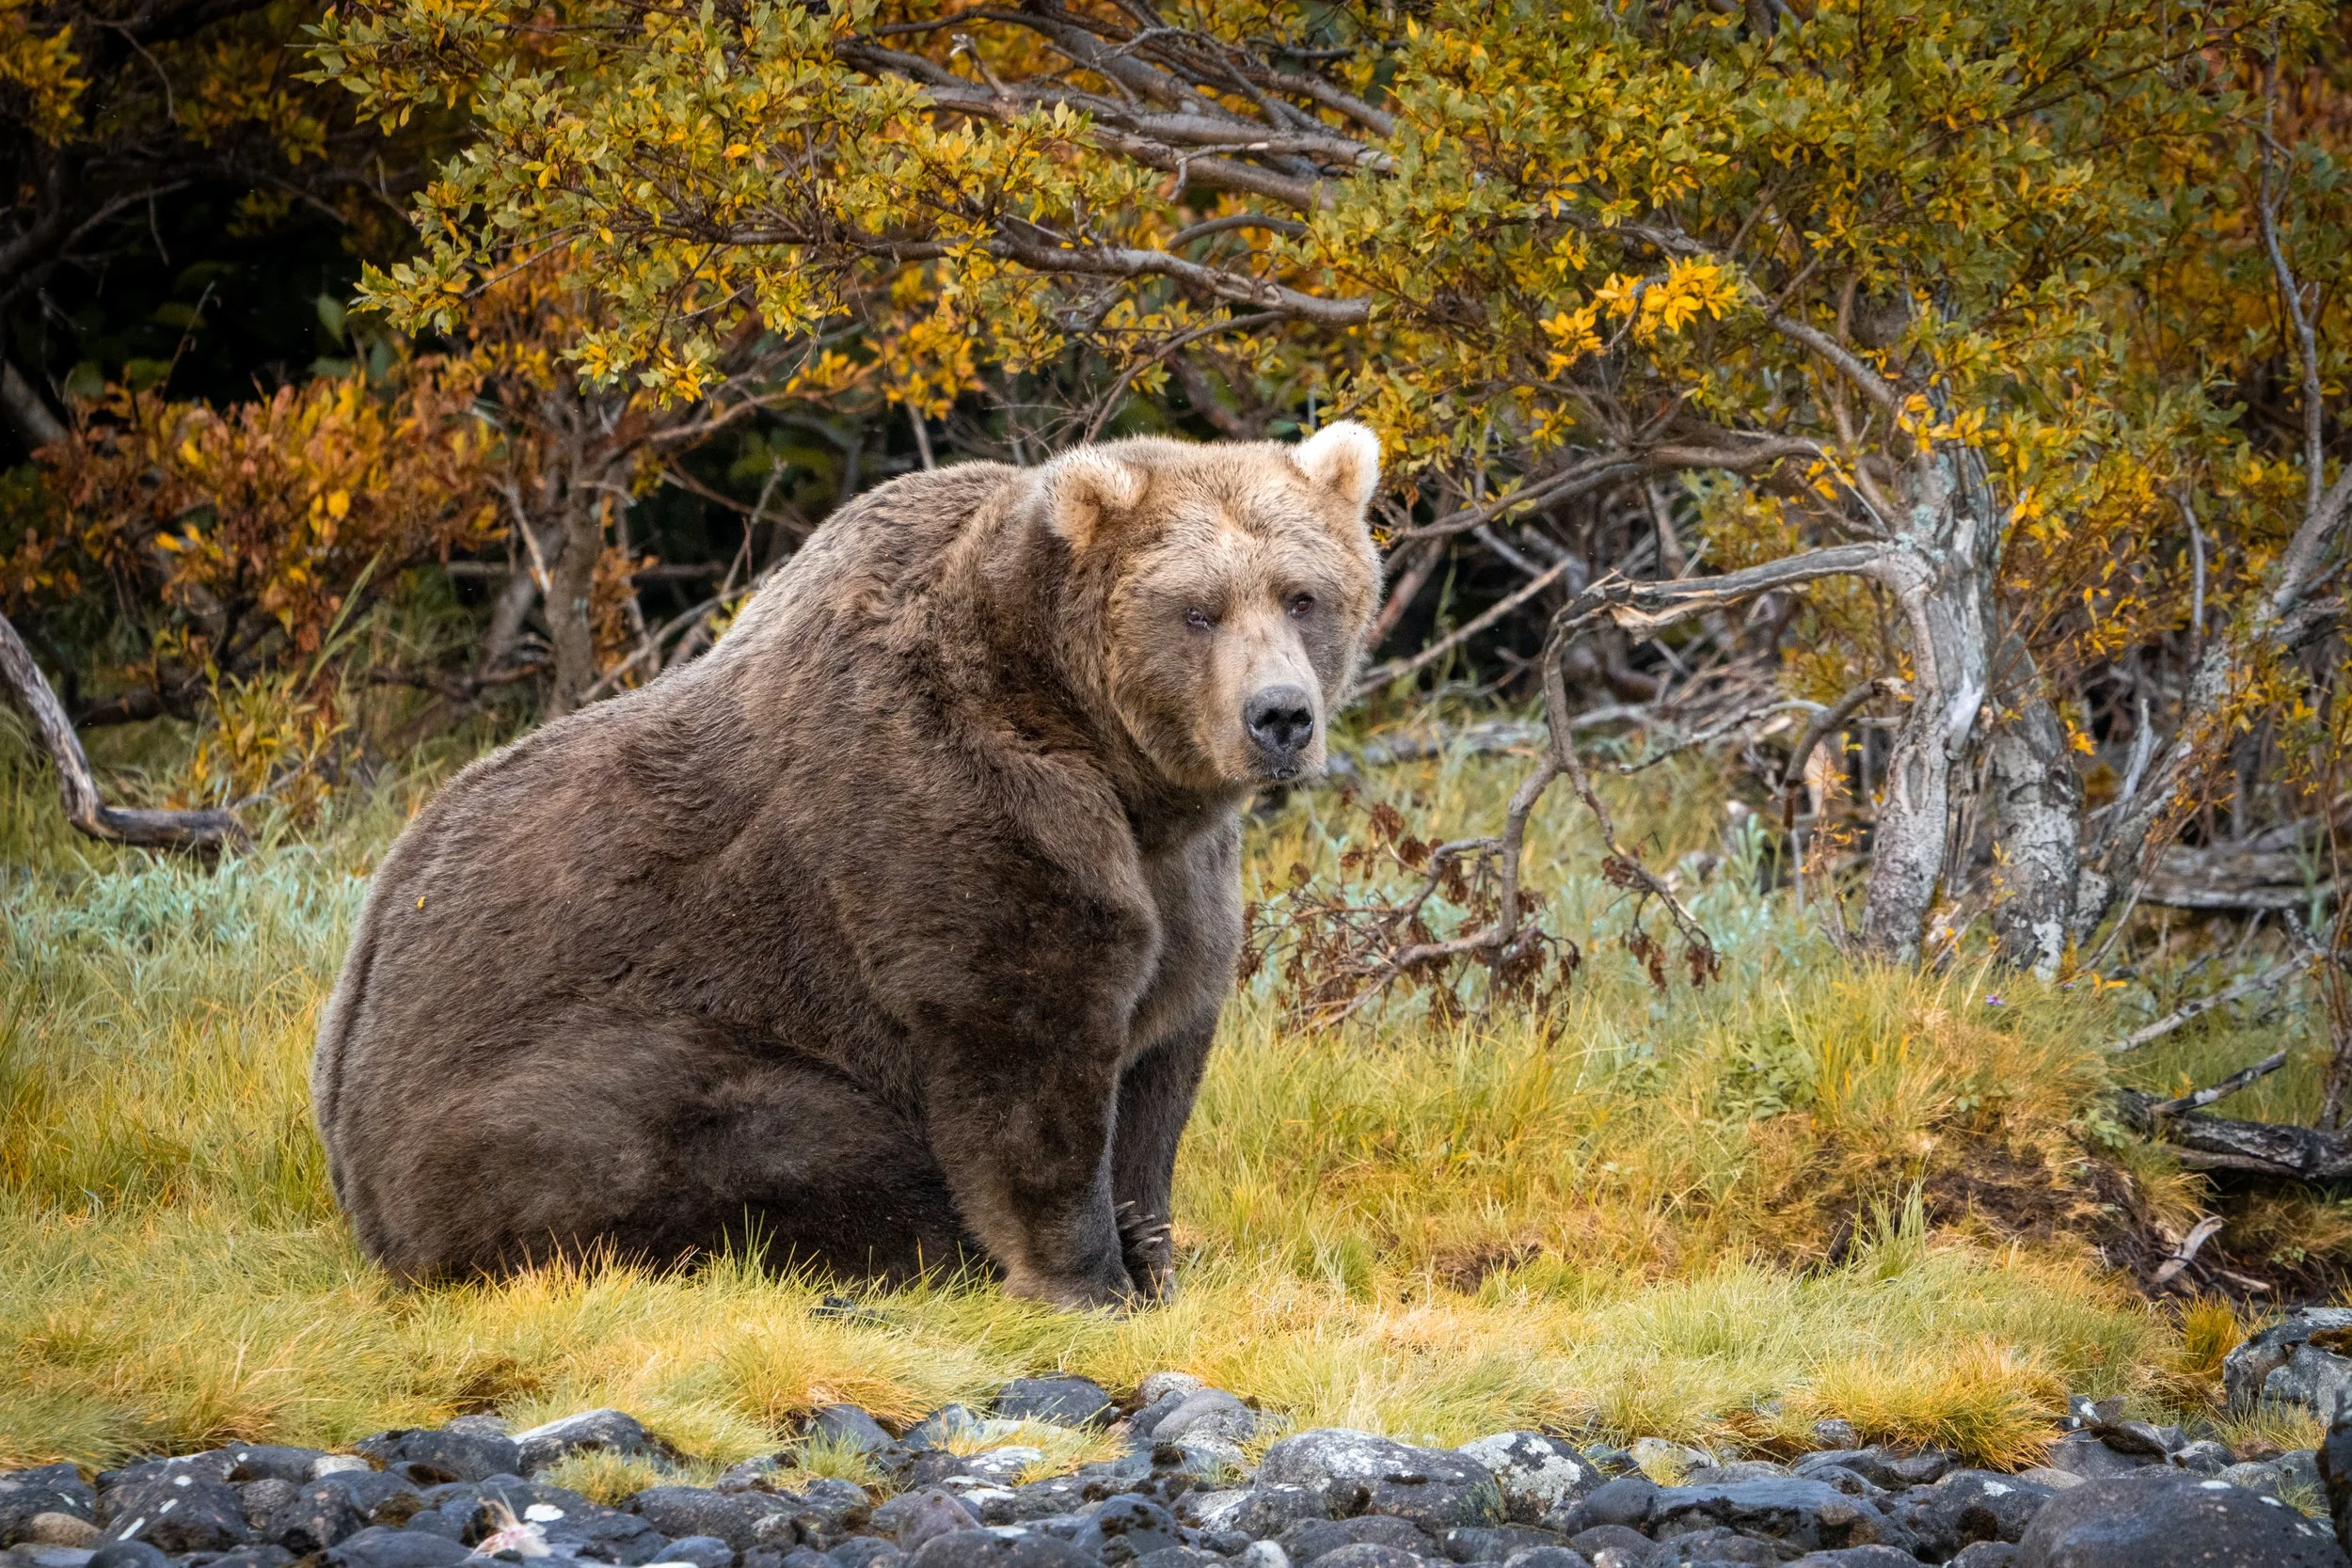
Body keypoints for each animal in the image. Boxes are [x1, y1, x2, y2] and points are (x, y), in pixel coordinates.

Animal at [311, 422, 1383, 1308]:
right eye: (1197, 609)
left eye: (1302, 594)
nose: (1280, 715)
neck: (1103, 748)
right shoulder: (954, 803)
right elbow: (1024, 1044)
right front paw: (1087, 1276)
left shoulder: (1181, 868)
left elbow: (1164, 1047)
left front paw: (1153, 1251)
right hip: (563, 1079)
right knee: (765, 1132)